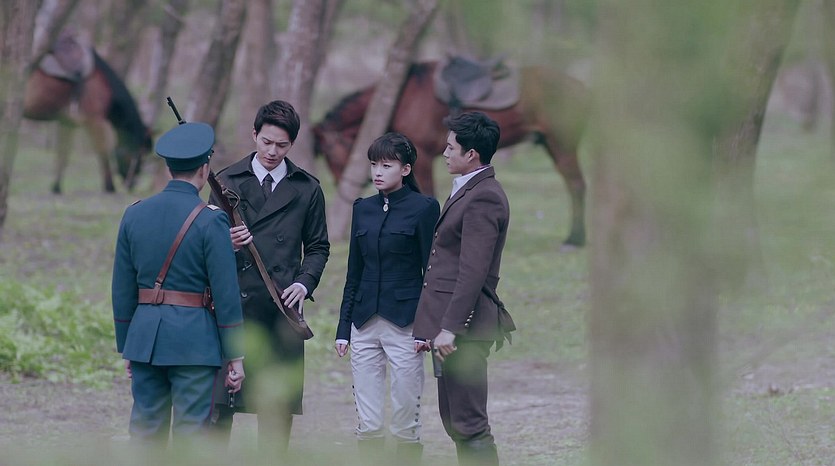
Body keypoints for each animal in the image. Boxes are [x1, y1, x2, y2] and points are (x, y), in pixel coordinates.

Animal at [23, 37, 151, 194]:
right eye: (142, 154)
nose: (132, 183)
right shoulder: (94, 121)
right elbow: (102, 152)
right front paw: (110, 187)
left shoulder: (68, 122)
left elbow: (63, 154)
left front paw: (56, 187)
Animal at [313, 61, 590, 247]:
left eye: (329, 152)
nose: (340, 183)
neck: (405, 96)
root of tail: (581, 87)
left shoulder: (423, 156)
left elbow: (428, 194)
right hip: (552, 145)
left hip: (562, 145)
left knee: (576, 185)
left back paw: (575, 238)